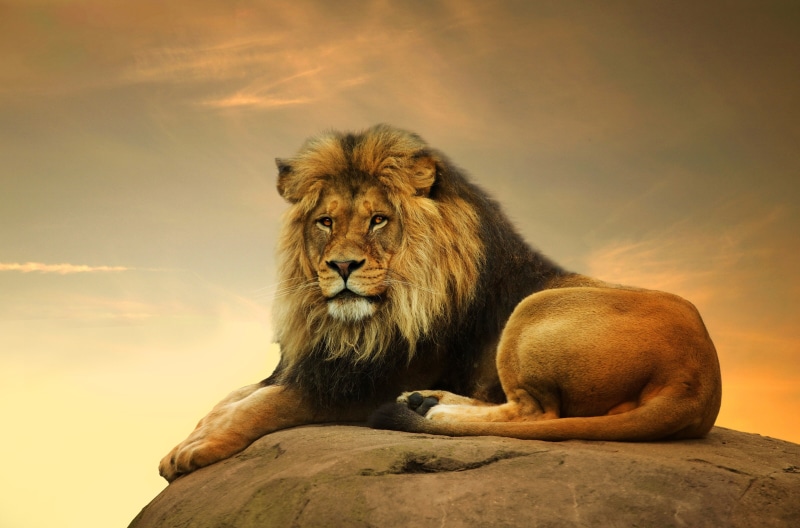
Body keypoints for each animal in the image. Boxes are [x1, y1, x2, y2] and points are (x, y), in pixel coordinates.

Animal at [158, 124, 722, 482]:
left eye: (378, 220)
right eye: (325, 222)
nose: (342, 267)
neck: (357, 325)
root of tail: (700, 380)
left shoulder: (360, 385)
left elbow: (265, 404)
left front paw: (197, 450)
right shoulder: (316, 364)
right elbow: (232, 397)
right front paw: (190, 438)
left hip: (533, 312)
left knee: (535, 412)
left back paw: (430, 409)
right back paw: (427, 403)